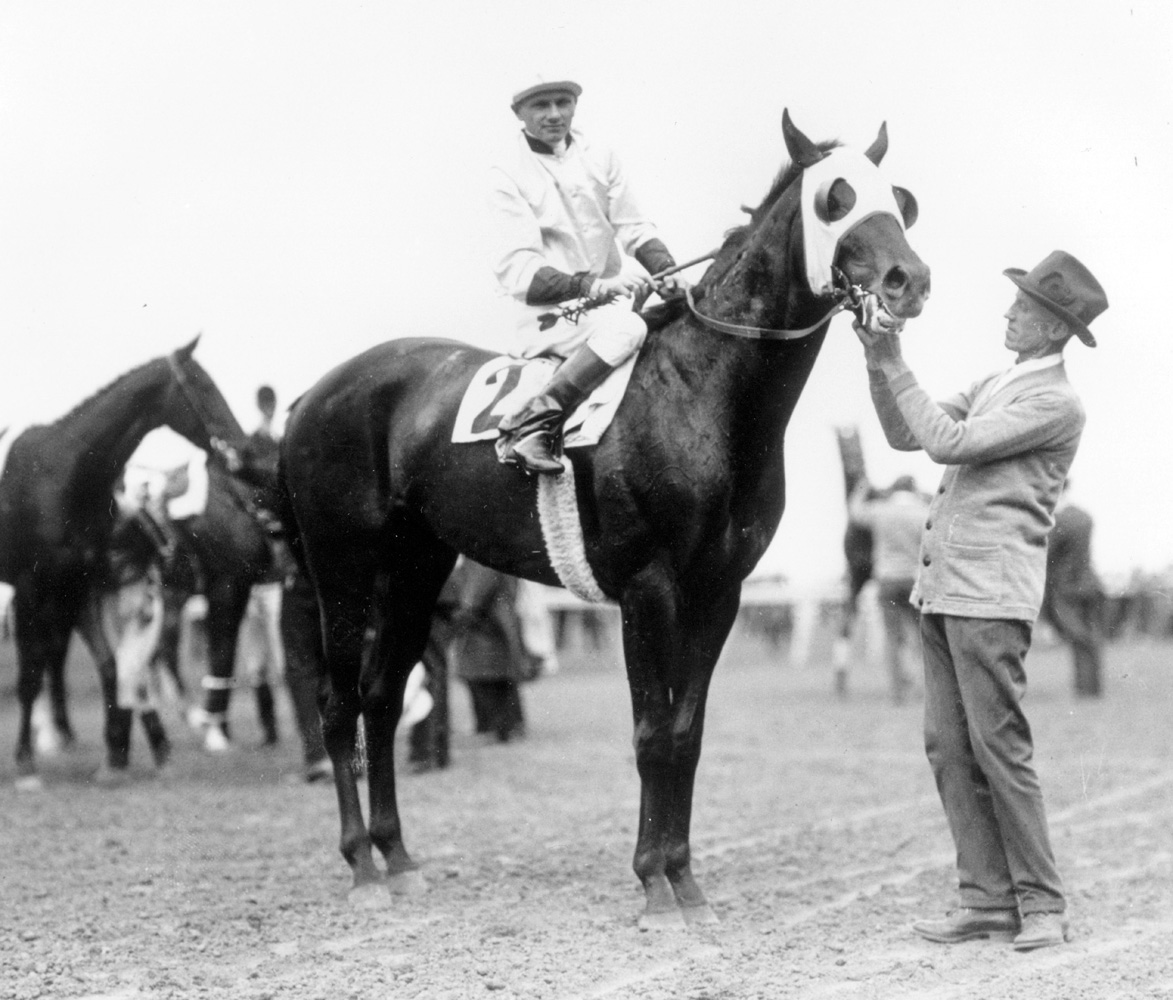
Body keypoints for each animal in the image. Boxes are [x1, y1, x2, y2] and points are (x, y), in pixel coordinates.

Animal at [1, 339, 245, 783]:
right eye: (202, 385)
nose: (239, 443)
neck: (58, 472)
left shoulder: (77, 587)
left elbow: (110, 666)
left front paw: (119, 754)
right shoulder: (30, 587)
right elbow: (29, 675)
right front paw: (26, 763)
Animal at [279, 113, 929, 923]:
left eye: (898, 201)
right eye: (834, 200)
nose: (909, 280)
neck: (701, 393)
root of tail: (314, 394)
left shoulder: (718, 594)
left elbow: (686, 732)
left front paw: (685, 878)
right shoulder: (647, 589)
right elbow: (651, 732)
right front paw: (653, 883)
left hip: (413, 570)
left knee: (381, 696)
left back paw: (396, 857)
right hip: (340, 569)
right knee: (337, 703)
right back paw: (362, 866)